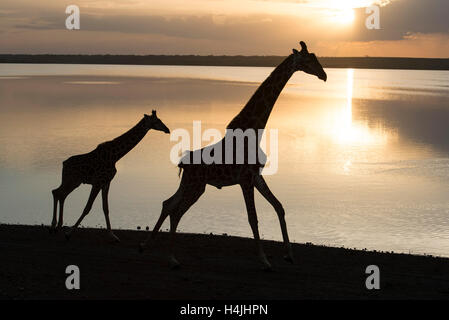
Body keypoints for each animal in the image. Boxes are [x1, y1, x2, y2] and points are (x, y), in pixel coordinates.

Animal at [50, 110, 170, 242]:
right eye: (157, 121)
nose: (167, 130)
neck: (115, 156)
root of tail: (63, 164)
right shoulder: (98, 182)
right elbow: (87, 207)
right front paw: (69, 233)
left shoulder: (106, 182)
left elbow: (105, 208)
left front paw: (112, 235)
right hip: (72, 180)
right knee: (58, 193)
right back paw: (54, 226)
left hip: (74, 181)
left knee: (59, 193)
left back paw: (56, 226)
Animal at [140, 41, 326, 268]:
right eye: (309, 60)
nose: (324, 75)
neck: (255, 129)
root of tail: (183, 163)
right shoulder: (245, 179)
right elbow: (253, 218)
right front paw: (264, 260)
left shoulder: (256, 177)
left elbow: (279, 207)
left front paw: (289, 255)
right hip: (196, 186)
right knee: (176, 212)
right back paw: (172, 257)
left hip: (189, 184)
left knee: (168, 203)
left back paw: (146, 245)